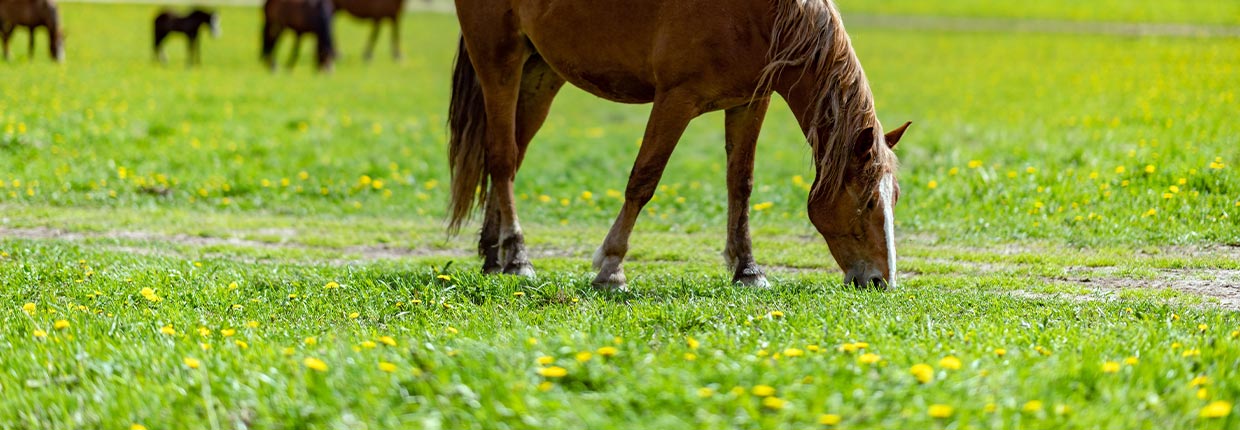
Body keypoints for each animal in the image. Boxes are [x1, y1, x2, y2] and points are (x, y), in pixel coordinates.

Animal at [446, 0, 912, 291]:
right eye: (869, 201)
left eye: (895, 198)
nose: (881, 282)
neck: (761, 16)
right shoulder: (675, 99)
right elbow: (643, 180)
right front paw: (611, 268)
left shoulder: (749, 102)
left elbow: (740, 184)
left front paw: (747, 270)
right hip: (499, 61)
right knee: (502, 158)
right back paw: (518, 256)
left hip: (540, 72)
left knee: (510, 157)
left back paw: (494, 255)